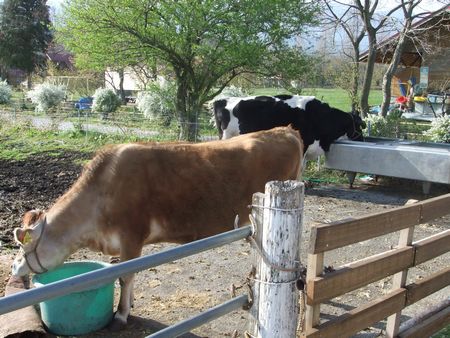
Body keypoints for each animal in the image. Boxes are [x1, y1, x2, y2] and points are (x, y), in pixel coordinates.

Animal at [11, 125, 302, 328]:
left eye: (23, 247)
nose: (14, 268)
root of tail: (284, 130)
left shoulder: (131, 236)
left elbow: (125, 275)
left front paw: (121, 315)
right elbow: (128, 274)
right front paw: (128, 303)